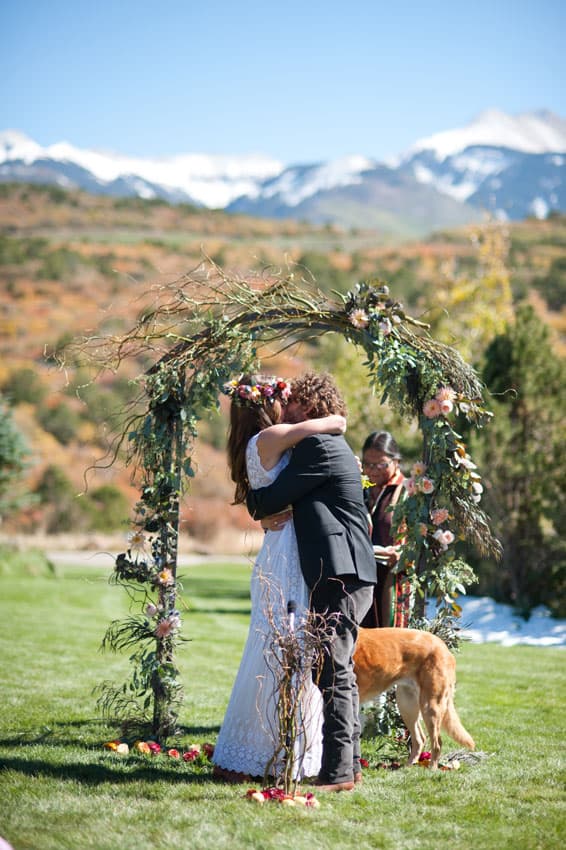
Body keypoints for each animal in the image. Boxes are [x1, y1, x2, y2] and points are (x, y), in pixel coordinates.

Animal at [356, 624, 474, 768]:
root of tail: (442, 644)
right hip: (407, 704)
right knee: (420, 739)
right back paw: (407, 767)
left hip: (430, 705)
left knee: (437, 743)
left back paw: (432, 769)